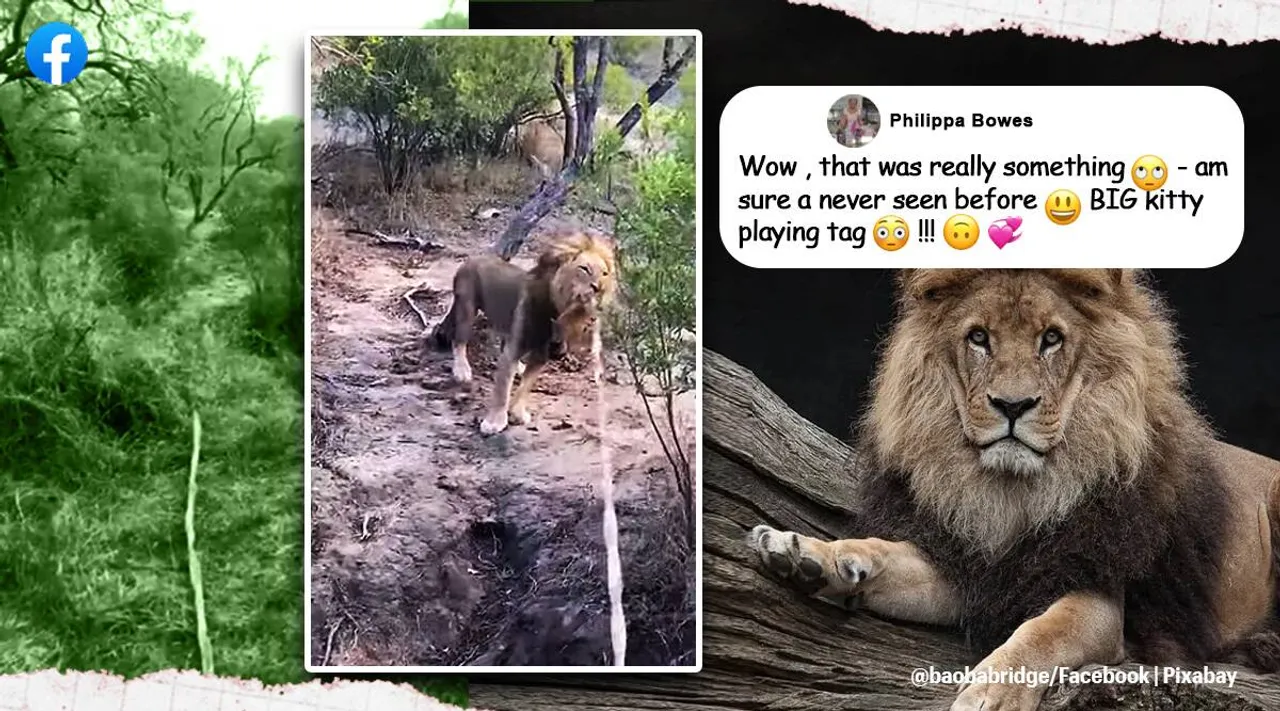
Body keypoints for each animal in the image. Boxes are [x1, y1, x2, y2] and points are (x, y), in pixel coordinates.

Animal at [427, 231, 616, 433]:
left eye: (605, 274)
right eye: (584, 269)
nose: (599, 288)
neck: (560, 311)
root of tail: (476, 257)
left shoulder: (541, 356)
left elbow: (526, 386)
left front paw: (517, 413)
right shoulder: (514, 349)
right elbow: (502, 389)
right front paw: (495, 422)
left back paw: (518, 368)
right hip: (467, 308)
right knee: (459, 340)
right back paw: (462, 370)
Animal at [747, 269, 1280, 711]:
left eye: (1052, 339)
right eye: (979, 338)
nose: (1012, 404)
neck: (1012, 496)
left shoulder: (1099, 595)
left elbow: (1044, 632)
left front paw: (990, 692)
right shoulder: (973, 569)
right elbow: (883, 551)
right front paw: (806, 553)